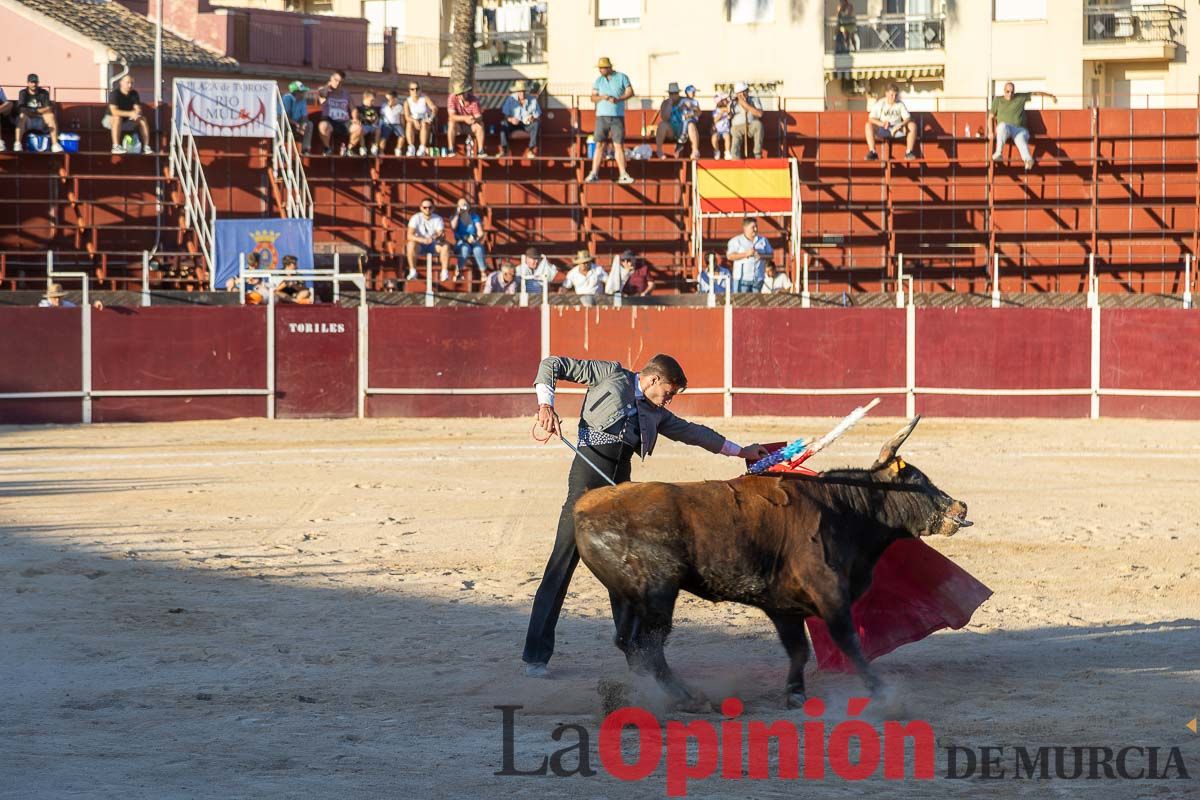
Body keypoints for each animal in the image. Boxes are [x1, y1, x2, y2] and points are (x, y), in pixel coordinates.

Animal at [573, 417, 974, 710]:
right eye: (918, 479)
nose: (960, 506)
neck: (846, 508)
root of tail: (584, 507)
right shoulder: (829, 592)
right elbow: (848, 641)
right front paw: (880, 692)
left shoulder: (784, 606)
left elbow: (798, 649)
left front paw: (794, 693)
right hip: (658, 595)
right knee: (649, 647)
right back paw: (690, 699)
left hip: (629, 598)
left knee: (630, 644)